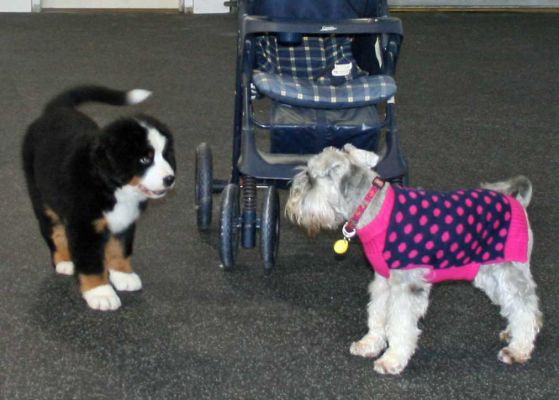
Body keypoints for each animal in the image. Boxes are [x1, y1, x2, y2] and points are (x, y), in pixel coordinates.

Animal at [23, 84, 176, 310]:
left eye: (165, 155)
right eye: (144, 159)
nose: (170, 178)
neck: (110, 185)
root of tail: (56, 110)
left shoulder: (124, 223)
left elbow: (119, 249)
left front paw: (123, 275)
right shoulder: (85, 226)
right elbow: (91, 262)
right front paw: (101, 293)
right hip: (42, 198)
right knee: (55, 231)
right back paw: (65, 261)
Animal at [286, 145, 540, 376]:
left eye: (309, 176)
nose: (291, 201)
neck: (372, 208)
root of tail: (517, 203)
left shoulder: (406, 286)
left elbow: (400, 324)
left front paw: (392, 359)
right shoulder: (383, 281)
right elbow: (377, 313)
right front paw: (370, 344)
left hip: (509, 270)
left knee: (525, 307)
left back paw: (518, 348)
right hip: (488, 273)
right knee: (511, 303)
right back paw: (512, 333)